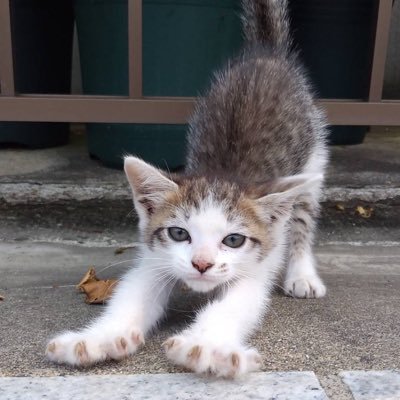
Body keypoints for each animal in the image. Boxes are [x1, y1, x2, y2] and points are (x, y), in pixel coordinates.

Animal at [46, 0, 328, 378]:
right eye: (179, 233)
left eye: (233, 240)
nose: (202, 264)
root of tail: (265, 52)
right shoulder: (155, 256)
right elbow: (133, 291)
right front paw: (98, 337)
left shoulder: (255, 266)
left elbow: (237, 302)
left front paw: (207, 345)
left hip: (313, 159)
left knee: (302, 221)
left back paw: (302, 274)